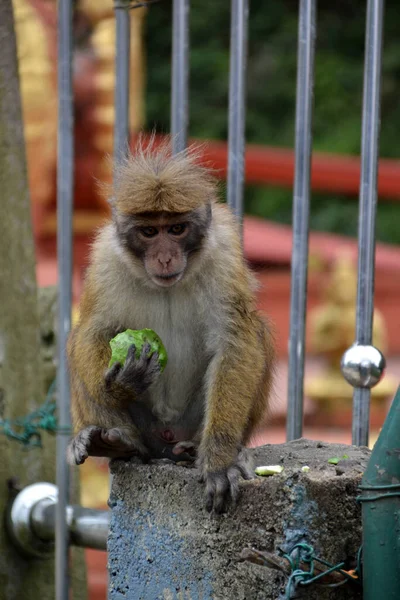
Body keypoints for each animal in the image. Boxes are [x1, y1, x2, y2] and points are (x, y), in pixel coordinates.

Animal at [68, 139, 276, 510]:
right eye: (150, 231)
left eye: (177, 229)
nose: (165, 257)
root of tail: (164, 442)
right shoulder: (105, 257)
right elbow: (92, 332)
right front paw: (120, 385)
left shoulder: (223, 253)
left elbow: (235, 340)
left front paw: (219, 460)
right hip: (145, 429)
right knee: (77, 345)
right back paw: (114, 443)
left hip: (190, 422)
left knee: (257, 332)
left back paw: (199, 449)